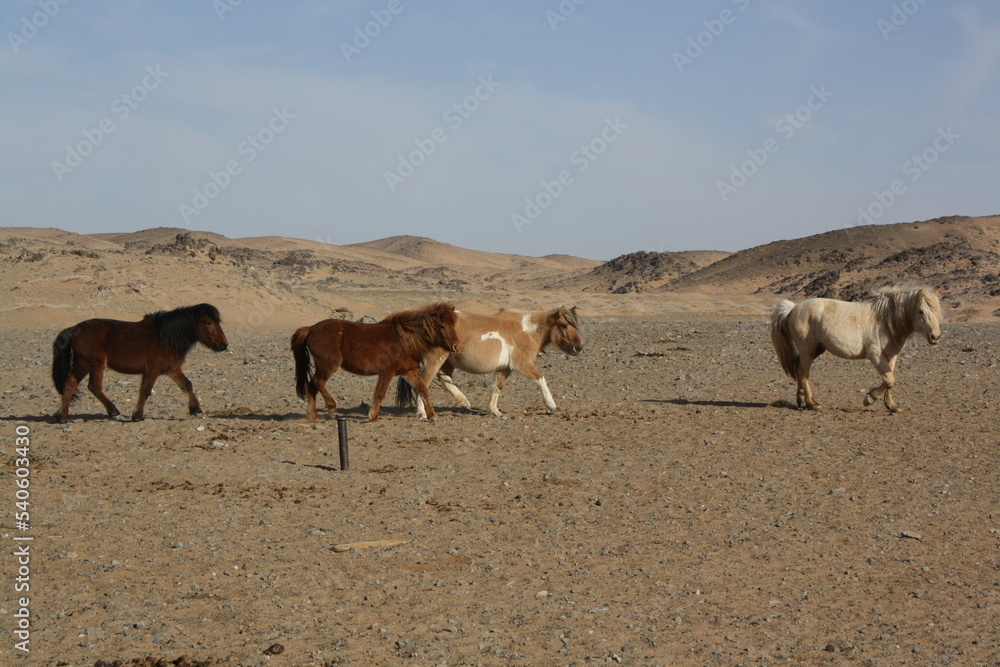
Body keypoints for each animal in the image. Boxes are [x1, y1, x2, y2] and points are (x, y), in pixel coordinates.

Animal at [53, 304, 230, 422]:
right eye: (208, 322)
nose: (224, 344)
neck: (167, 338)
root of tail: (75, 328)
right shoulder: (152, 371)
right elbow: (145, 391)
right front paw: (137, 415)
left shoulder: (173, 369)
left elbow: (187, 385)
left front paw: (196, 410)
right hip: (96, 364)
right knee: (94, 387)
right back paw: (114, 412)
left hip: (81, 365)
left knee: (69, 385)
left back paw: (62, 416)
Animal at [290, 302, 460, 422]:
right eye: (442, 326)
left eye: (454, 325)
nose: (456, 347)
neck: (404, 341)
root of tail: (310, 329)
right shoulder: (387, 372)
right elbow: (380, 393)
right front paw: (373, 416)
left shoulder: (409, 371)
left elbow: (422, 389)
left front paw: (432, 415)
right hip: (328, 365)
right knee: (317, 382)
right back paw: (331, 406)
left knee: (312, 386)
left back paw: (313, 416)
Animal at [398, 306, 584, 418]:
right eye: (564, 325)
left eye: (576, 326)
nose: (578, 348)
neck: (527, 330)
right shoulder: (522, 363)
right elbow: (540, 378)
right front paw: (551, 405)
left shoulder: (505, 368)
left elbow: (497, 387)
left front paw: (495, 411)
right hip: (435, 359)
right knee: (424, 382)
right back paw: (422, 413)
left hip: (447, 361)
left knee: (444, 379)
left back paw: (464, 403)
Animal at [768, 286, 940, 412]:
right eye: (921, 311)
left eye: (937, 311)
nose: (935, 336)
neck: (884, 320)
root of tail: (794, 307)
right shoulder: (875, 355)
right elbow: (889, 379)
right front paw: (869, 399)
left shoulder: (891, 356)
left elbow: (890, 380)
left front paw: (891, 406)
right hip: (807, 351)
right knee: (803, 374)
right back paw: (813, 404)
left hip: (815, 350)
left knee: (798, 369)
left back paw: (800, 400)